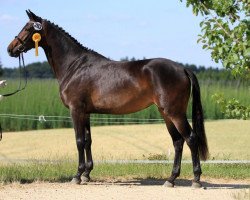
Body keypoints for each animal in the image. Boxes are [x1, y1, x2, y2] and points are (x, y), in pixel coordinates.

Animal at [7, 9, 209, 188]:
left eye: (27, 28)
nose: (10, 49)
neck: (74, 65)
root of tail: (183, 68)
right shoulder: (86, 113)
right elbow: (88, 140)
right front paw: (87, 174)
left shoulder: (76, 110)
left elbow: (79, 141)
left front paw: (77, 175)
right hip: (166, 113)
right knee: (178, 142)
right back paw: (171, 179)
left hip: (175, 113)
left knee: (191, 139)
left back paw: (196, 180)